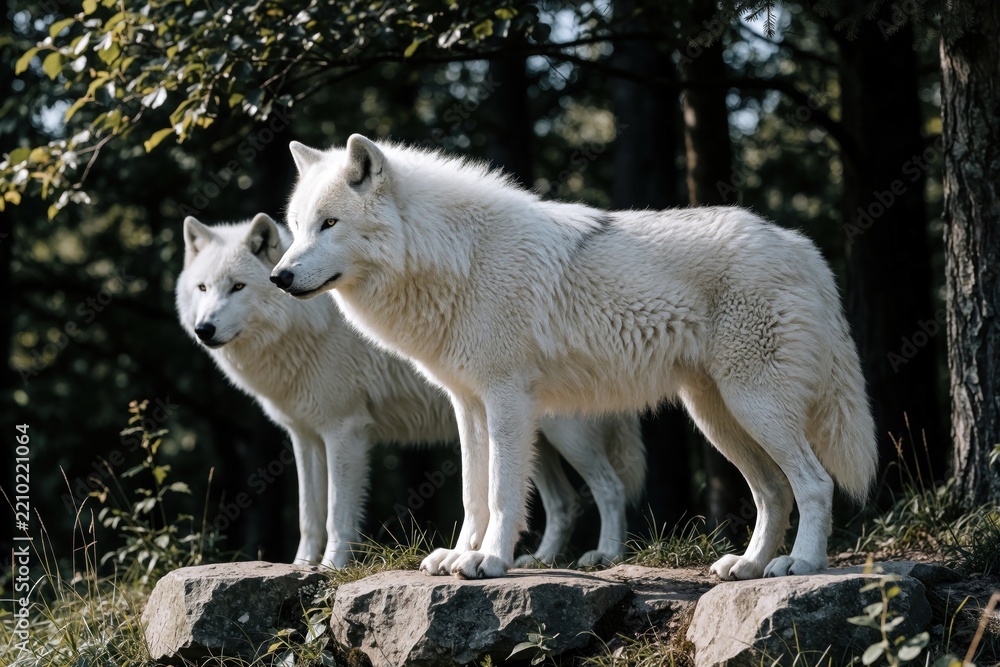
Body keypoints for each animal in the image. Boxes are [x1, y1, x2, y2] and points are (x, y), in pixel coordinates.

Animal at [175, 213, 645, 569]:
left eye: (238, 286)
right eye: (203, 288)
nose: (204, 330)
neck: (303, 322)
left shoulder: (345, 432)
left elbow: (336, 515)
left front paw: (330, 568)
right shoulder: (304, 437)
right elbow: (309, 516)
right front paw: (300, 567)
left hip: (565, 437)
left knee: (609, 488)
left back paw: (606, 556)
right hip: (531, 440)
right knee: (563, 504)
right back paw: (538, 561)